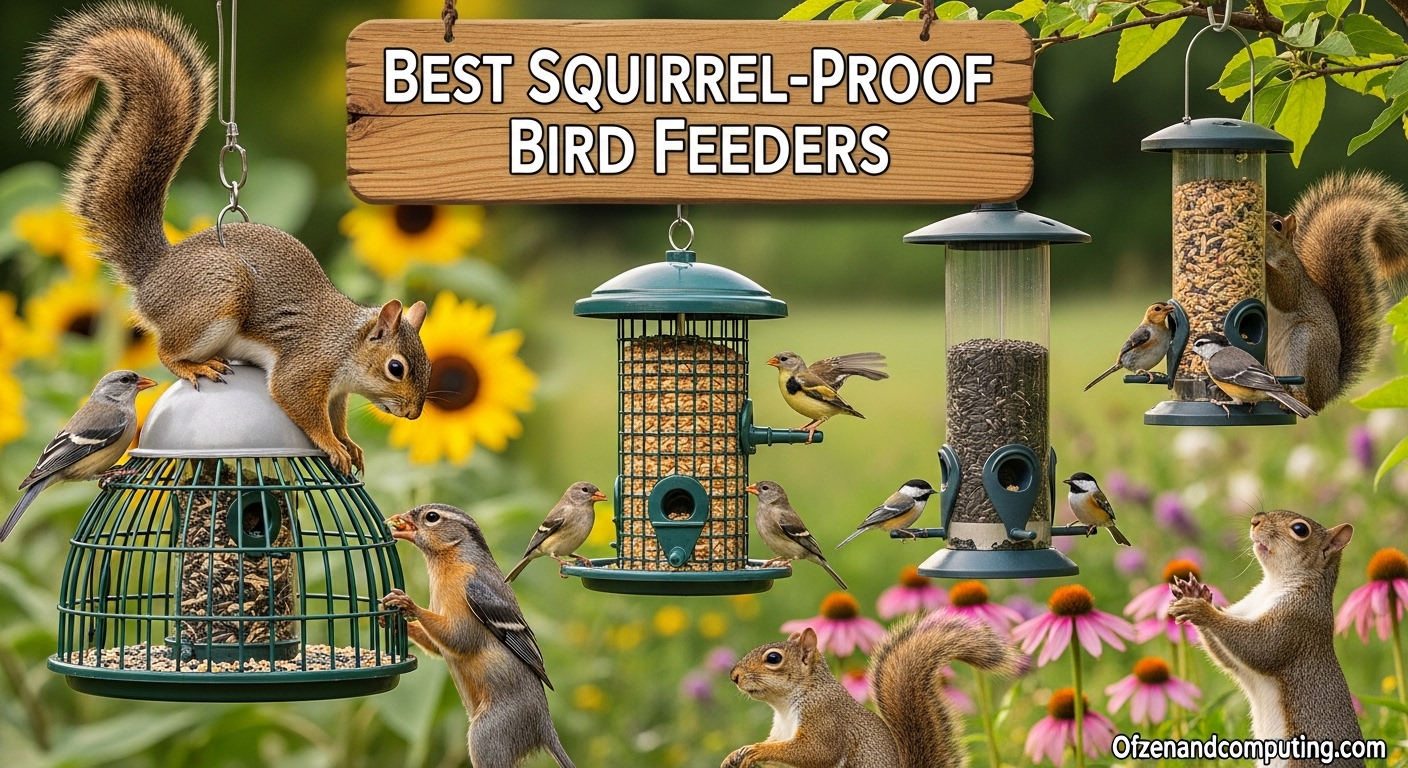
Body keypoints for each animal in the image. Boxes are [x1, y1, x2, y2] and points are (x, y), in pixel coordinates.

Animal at [18, 2, 430, 474]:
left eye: (427, 364)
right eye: (396, 368)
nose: (414, 413)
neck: (346, 343)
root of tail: (155, 272)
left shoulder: (337, 391)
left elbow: (338, 414)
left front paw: (349, 443)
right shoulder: (306, 365)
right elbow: (297, 402)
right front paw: (332, 445)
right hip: (218, 294)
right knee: (165, 349)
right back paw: (194, 367)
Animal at [383, 504, 576, 768]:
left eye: (431, 517)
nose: (397, 519)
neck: (454, 561)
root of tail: (544, 725)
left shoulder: (465, 625)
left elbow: (457, 638)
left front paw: (408, 603)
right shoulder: (438, 643)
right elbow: (434, 644)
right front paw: (390, 619)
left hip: (487, 734)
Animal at [724, 613, 1024, 768]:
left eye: (773, 658)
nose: (734, 676)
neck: (785, 706)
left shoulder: (825, 719)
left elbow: (815, 751)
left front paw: (756, 751)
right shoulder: (780, 731)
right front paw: (735, 755)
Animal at [1168, 510, 1362, 766]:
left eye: (1300, 529)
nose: (1255, 520)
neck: (1273, 586)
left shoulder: (1296, 622)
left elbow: (1260, 647)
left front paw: (1201, 610)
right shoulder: (1244, 612)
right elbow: (1227, 658)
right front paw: (1195, 593)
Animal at [1265, 171, 1408, 411]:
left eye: (1277, 225)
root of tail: (1329, 392)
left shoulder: (1294, 278)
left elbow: (1285, 295)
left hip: (1305, 342)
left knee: (1307, 397)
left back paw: (1295, 399)